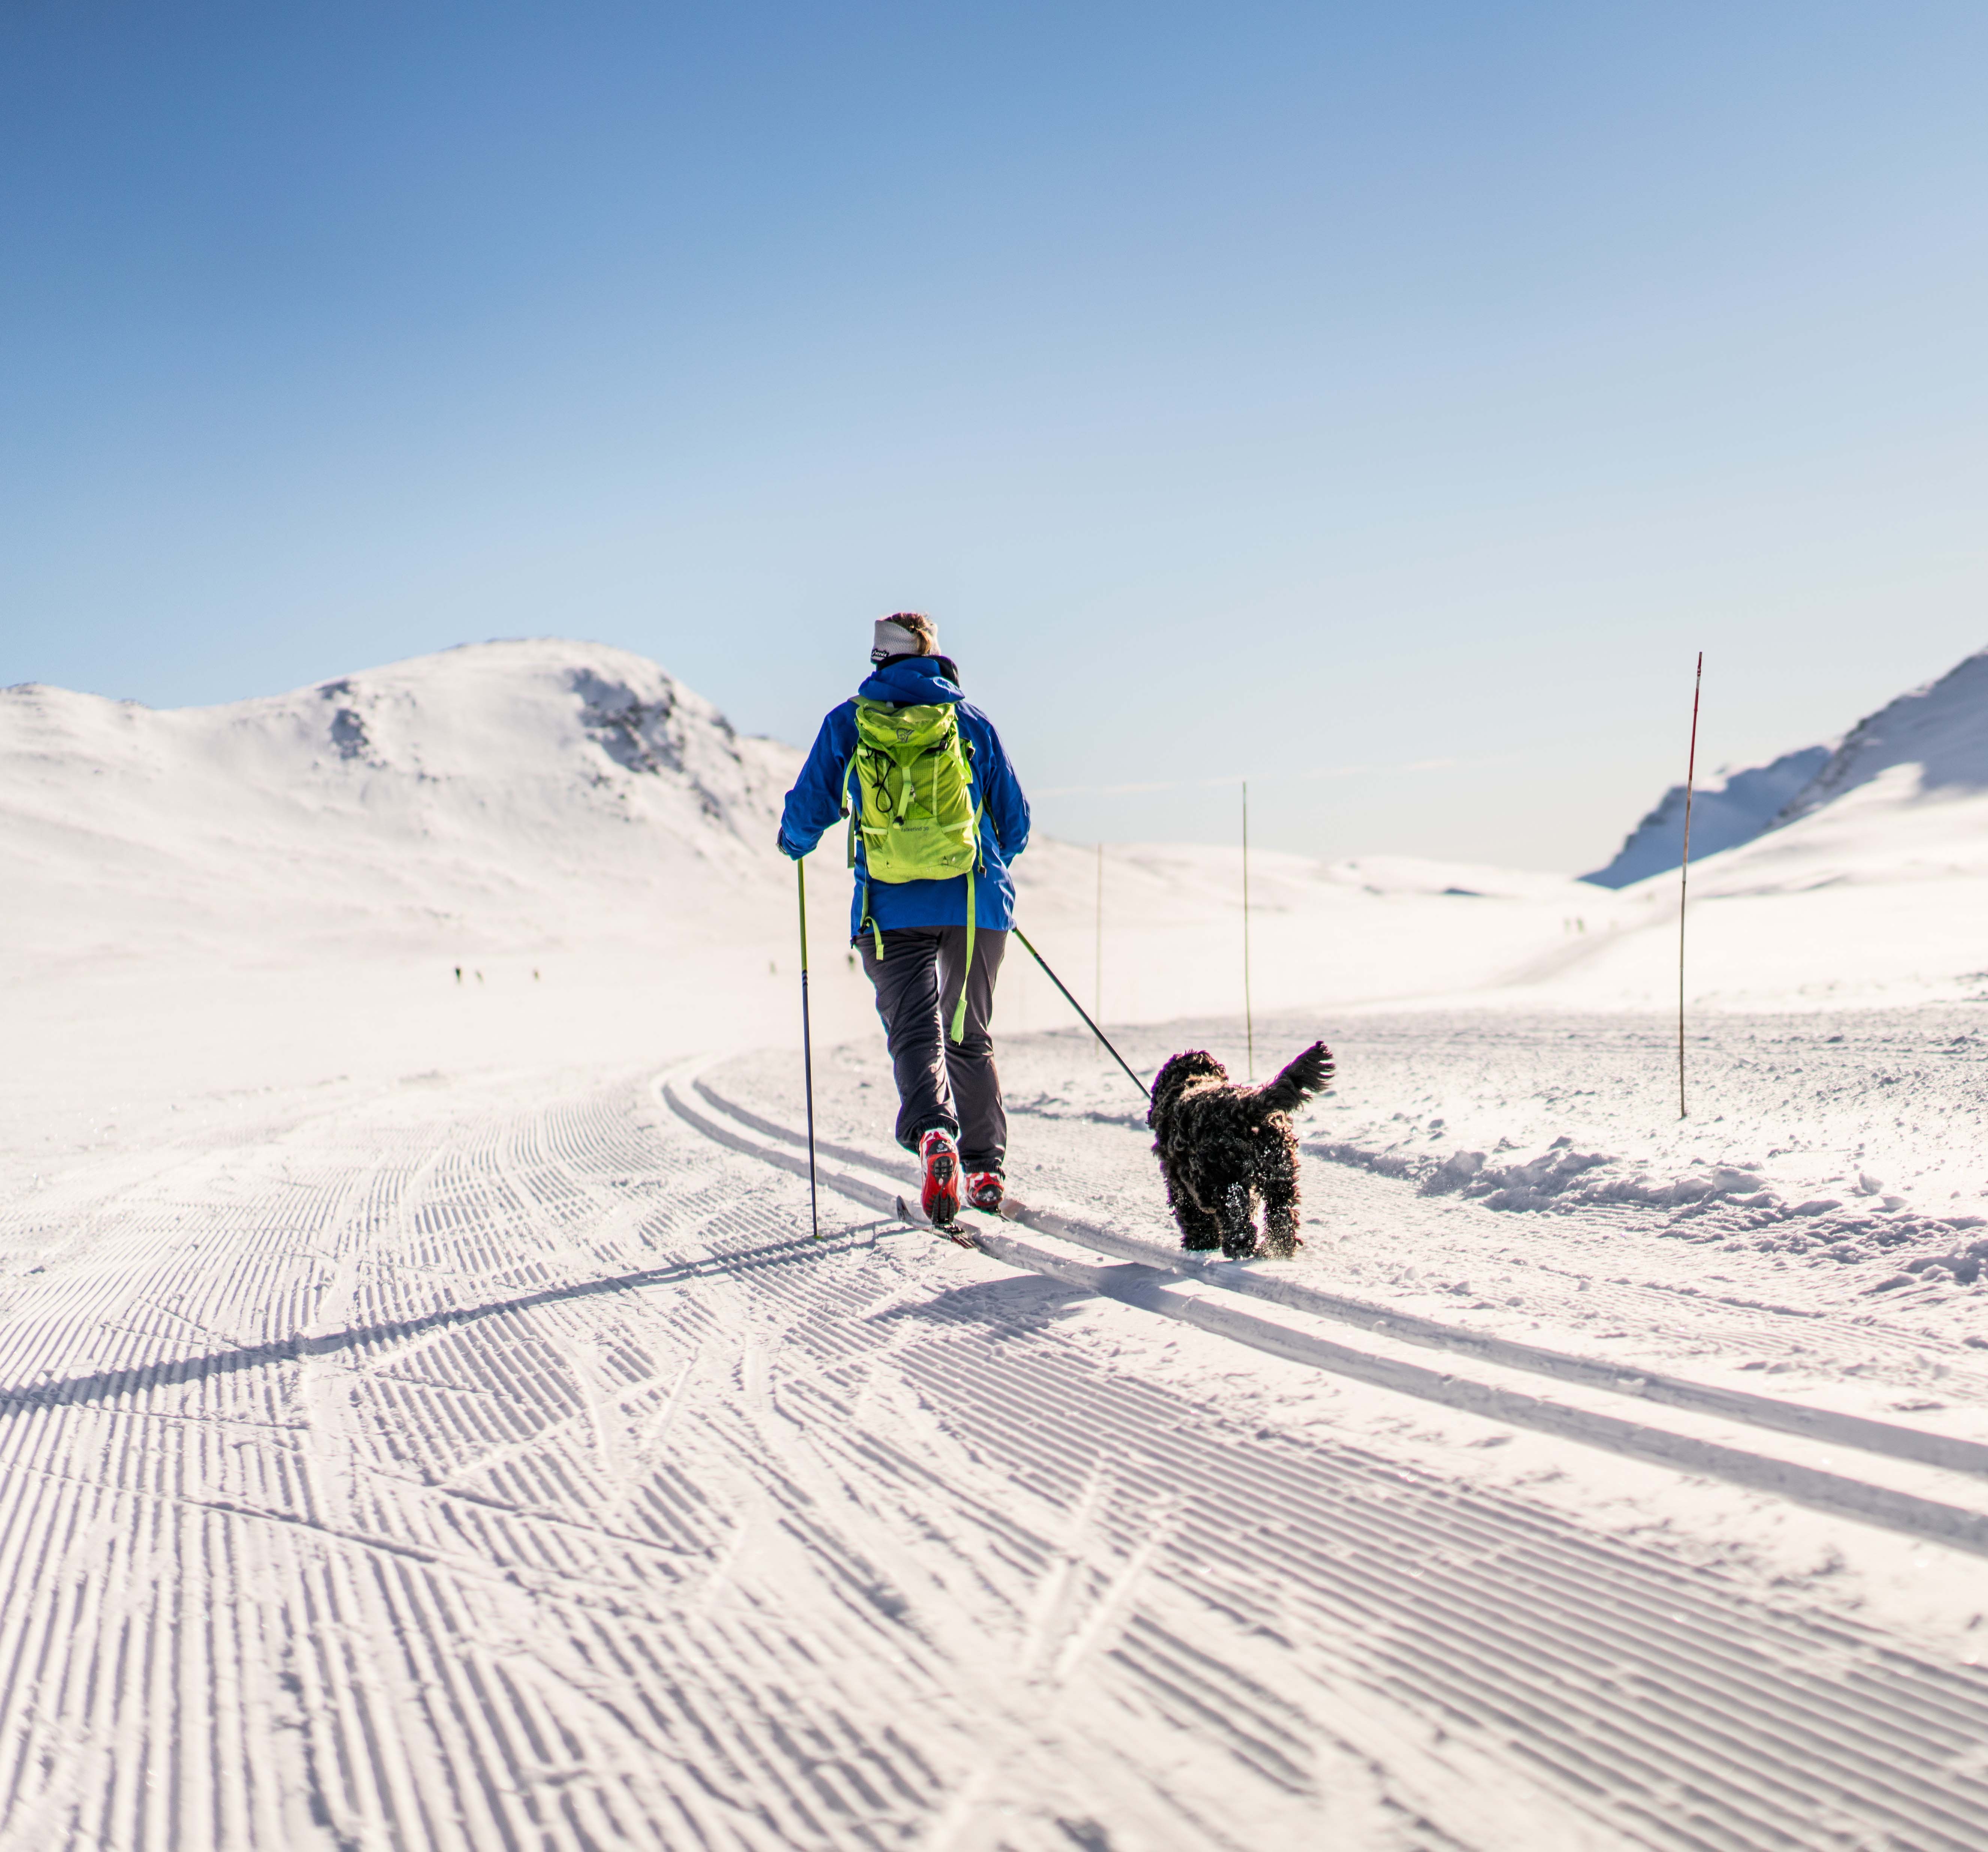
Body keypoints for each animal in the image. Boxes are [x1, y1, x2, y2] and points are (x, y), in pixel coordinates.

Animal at [1153, 1042, 1336, 1257]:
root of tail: (1245, 1109)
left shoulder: (1180, 1184)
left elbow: (1194, 1217)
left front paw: (1200, 1244)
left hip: (1226, 1182)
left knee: (1238, 1223)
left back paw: (1240, 1250)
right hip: (1280, 1176)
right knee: (1282, 1216)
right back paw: (1278, 1251)